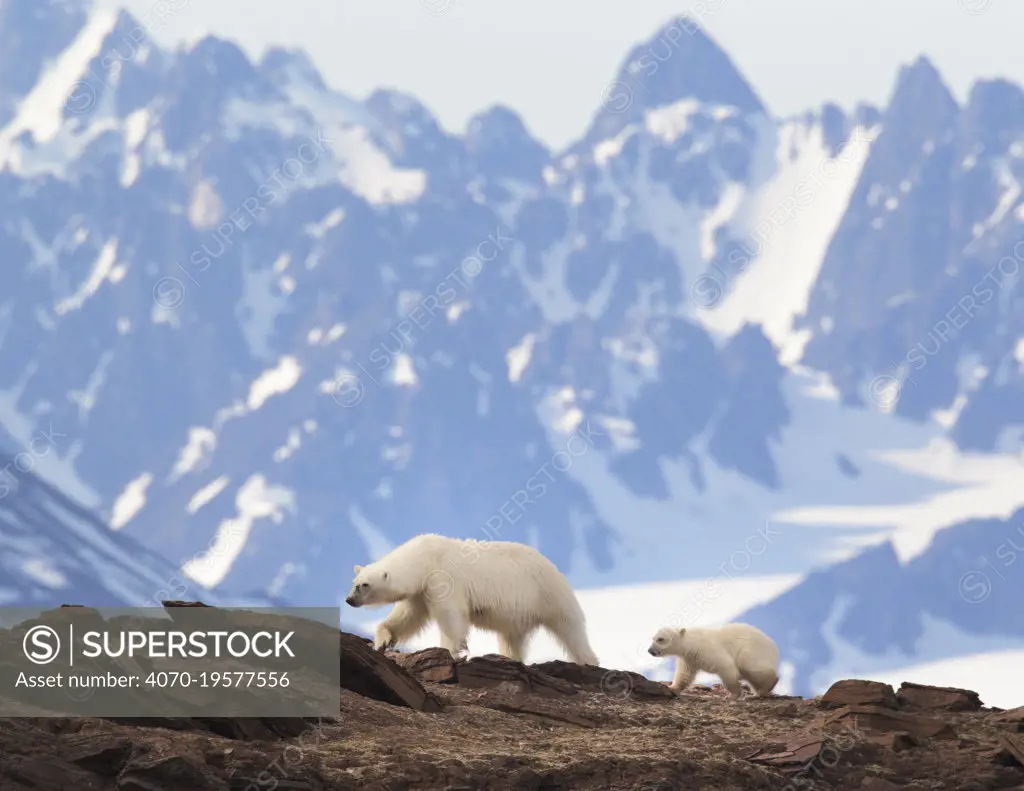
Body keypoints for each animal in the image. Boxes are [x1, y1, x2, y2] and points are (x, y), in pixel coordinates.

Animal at [344, 532, 598, 668]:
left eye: (364, 585)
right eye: (354, 581)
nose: (348, 600)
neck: (425, 557)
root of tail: (554, 568)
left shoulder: (443, 578)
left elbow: (451, 616)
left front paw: (450, 650)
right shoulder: (420, 591)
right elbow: (407, 617)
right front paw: (382, 640)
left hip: (548, 594)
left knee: (570, 630)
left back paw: (589, 662)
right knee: (512, 638)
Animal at [647, 622, 782, 696]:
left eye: (661, 639)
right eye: (653, 638)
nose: (650, 650)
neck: (692, 643)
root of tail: (774, 647)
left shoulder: (707, 650)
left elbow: (726, 666)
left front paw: (733, 694)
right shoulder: (689, 658)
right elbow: (684, 674)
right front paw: (672, 687)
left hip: (752, 650)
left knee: (751, 667)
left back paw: (765, 688)